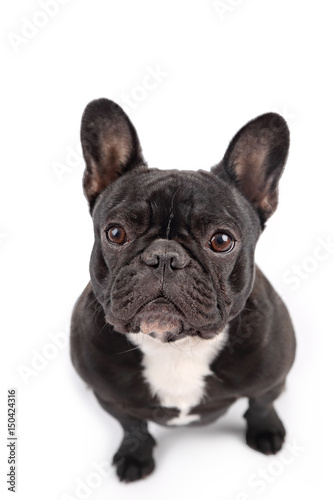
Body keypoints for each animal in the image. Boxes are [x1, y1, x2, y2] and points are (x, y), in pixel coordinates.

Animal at [70, 95, 296, 482]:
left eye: (221, 241)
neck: (176, 346)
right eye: (116, 233)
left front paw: (266, 431)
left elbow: (262, 403)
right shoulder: (110, 397)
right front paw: (135, 455)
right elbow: (132, 425)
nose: (164, 256)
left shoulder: (272, 377)